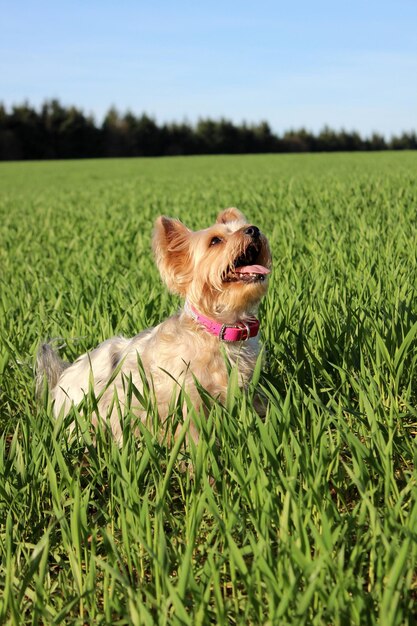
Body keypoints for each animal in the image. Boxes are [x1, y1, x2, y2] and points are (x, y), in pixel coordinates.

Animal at [37, 207, 272, 442]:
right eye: (215, 241)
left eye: (244, 226)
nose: (253, 229)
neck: (217, 330)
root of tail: (61, 380)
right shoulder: (186, 398)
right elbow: (193, 435)